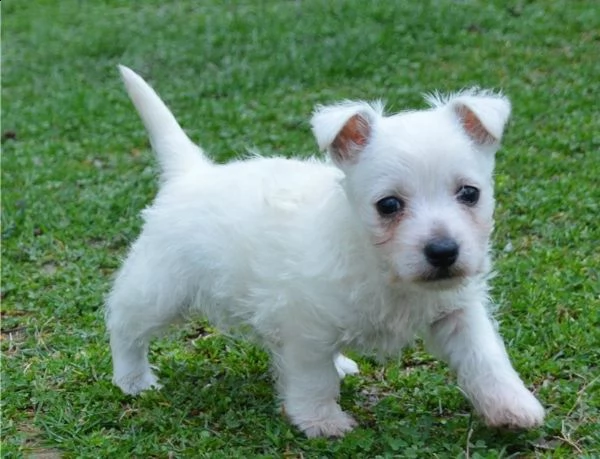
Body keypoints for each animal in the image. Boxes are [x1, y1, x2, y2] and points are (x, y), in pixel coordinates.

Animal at [105, 65, 548, 438]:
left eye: (470, 193)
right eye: (388, 205)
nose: (443, 252)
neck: (383, 269)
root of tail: (191, 173)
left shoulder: (458, 312)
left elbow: (485, 357)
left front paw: (512, 405)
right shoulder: (307, 327)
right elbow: (312, 377)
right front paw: (321, 420)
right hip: (159, 290)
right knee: (125, 325)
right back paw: (133, 379)